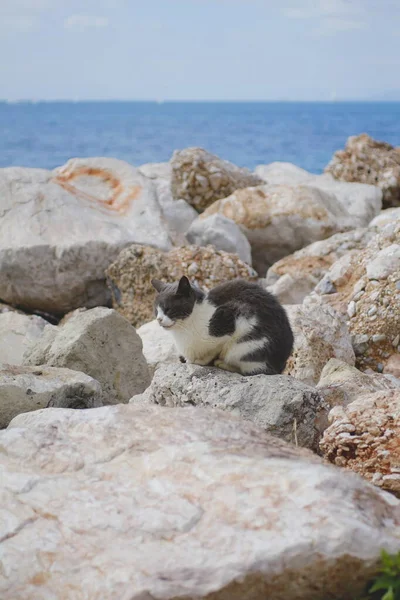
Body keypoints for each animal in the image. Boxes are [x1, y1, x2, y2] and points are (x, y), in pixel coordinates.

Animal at [150, 276, 294, 376]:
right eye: (156, 310)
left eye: (168, 309)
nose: (159, 319)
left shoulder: (236, 318)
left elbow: (213, 349)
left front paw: (200, 361)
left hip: (245, 347)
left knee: (253, 369)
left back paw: (223, 364)